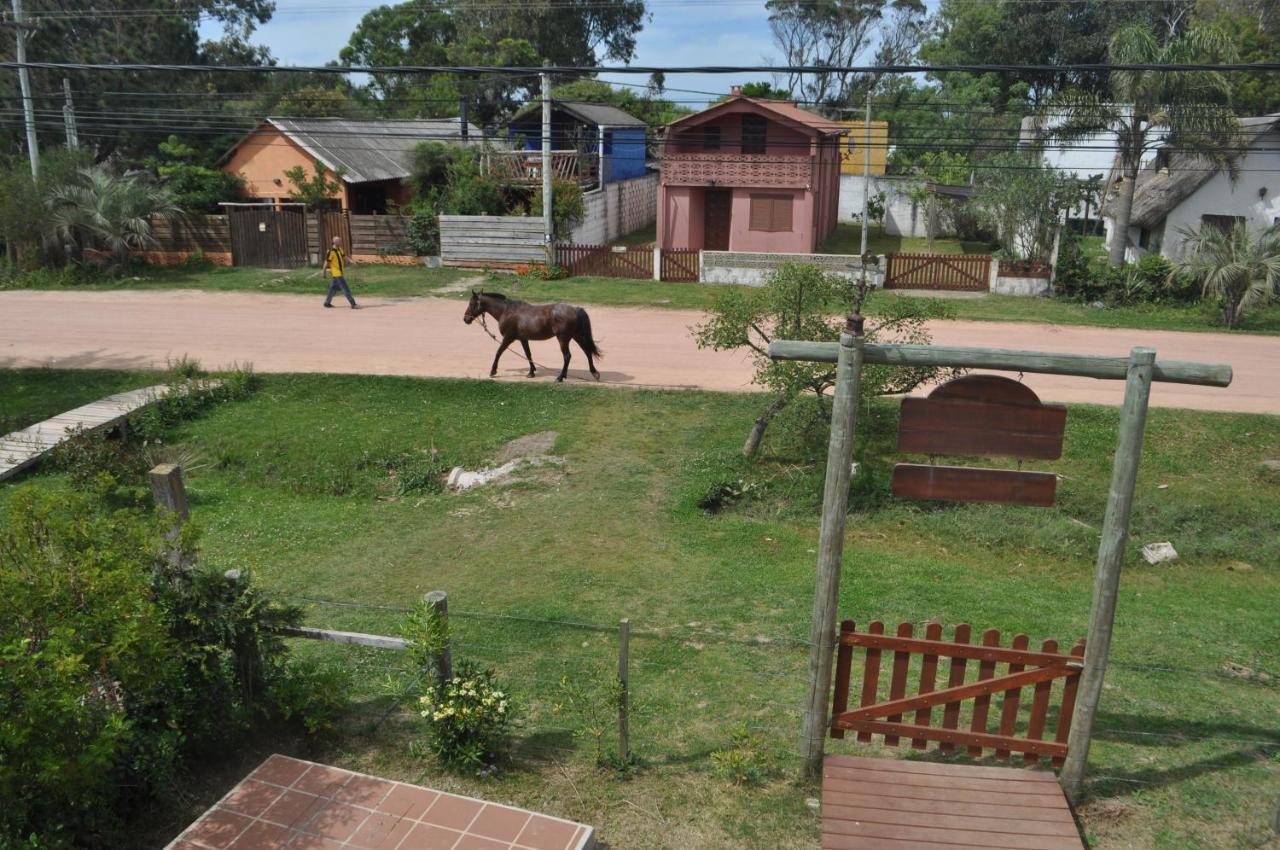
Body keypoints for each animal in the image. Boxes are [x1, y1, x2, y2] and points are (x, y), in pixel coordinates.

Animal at [463, 294, 601, 384]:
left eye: (471, 304)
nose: (465, 319)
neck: (506, 311)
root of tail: (575, 309)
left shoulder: (508, 338)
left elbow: (499, 352)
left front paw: (493, 371)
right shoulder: (523, 339)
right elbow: (528, 354)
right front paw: (531, 372)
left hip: (563, 338)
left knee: (567, 356)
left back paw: (560, 377)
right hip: (577, 336)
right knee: (587, 351)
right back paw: (594, 373)